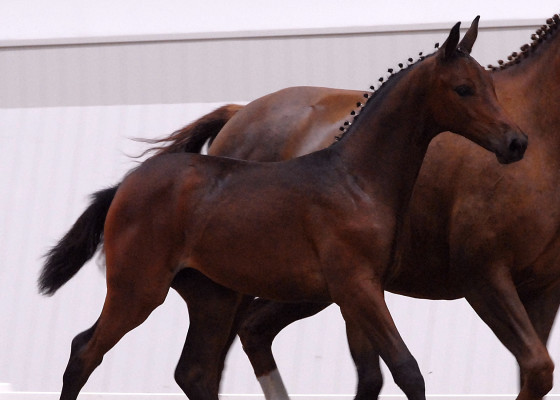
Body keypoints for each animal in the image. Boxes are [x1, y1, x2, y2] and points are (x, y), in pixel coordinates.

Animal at [40, 21, 528, 400]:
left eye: (491, 86)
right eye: (464, 89)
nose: (516, 142)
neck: (357, 180)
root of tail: (125, 187)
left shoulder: (353, 292)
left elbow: (377, 374)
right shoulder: (356, 287)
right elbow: (407, 371)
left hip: (211, 297)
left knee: (194, 371)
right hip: (138, 289)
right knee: (84, 352)